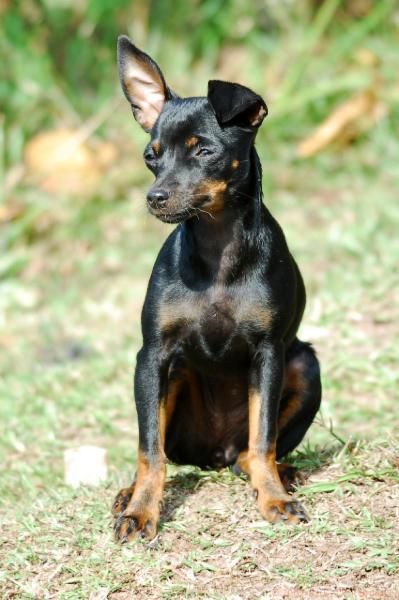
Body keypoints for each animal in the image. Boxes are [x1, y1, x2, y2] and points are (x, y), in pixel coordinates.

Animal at [111, 37, 322, 544]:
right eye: (151, 156)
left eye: (204, 151)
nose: (155, 198)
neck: (218, 249)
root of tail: (216, 455)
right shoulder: (152, 355)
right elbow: (149, 451)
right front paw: (142, 510)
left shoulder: (269, 354)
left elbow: (263, 438)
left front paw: (274, 499)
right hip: (174, 377)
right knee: (167, 452)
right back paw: (128, 493)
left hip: (305, 364)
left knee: (250, 453)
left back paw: (282, 475)